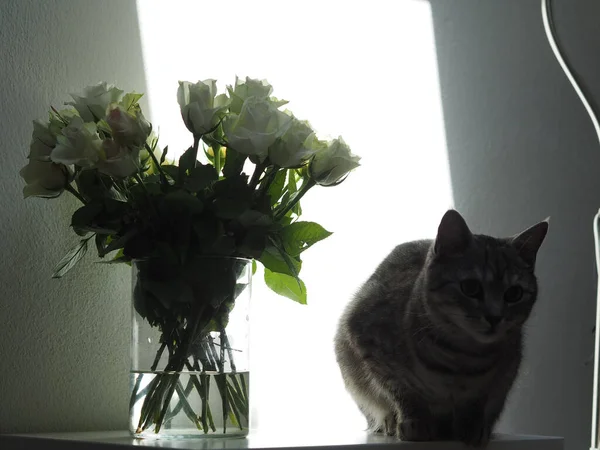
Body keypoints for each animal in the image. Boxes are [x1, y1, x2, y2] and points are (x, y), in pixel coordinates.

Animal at [332, 210, 548, 446]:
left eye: (514, 293)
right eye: (470, 287)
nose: (495, 317)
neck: (462, 359)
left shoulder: (505, 370)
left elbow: (477, 399)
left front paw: (472, 425)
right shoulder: (366, 339)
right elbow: (402, 390)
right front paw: (414, 420)